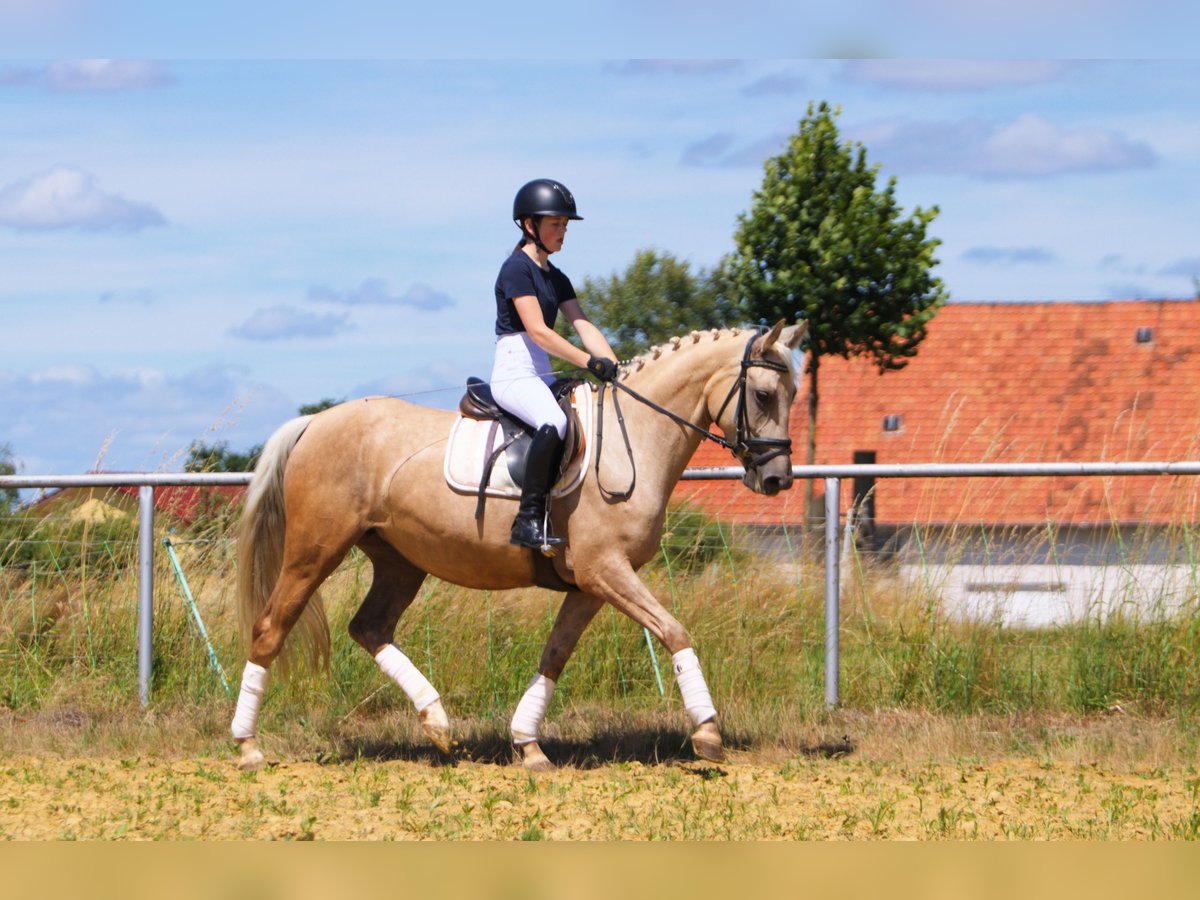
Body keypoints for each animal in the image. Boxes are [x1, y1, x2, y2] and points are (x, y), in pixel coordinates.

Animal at [229, 321, 806, 772]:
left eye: (794, 394)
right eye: (762, 395)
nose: (778, 479)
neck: (634, 440)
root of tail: (314, 422)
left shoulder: (590, 585)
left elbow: (555, 655)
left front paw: (528, 745)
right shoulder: (605, 571)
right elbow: (673, 630)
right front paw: (708, 731)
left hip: (399, 562)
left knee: (370, 627)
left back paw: (438, 722)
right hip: (314, 551)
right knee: (270, 628)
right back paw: (249, 747)